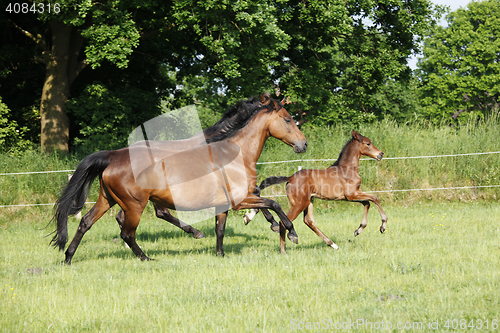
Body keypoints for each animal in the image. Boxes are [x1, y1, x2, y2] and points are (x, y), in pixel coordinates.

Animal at [52, 93, 306, 262]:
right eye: (287, 119)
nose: (303, 144)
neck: (235, 152)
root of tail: (113, 156)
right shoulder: (239, 200)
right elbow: (272, 204)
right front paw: (289, 232)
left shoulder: (224, 204)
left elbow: (221, 229)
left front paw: (221, 254)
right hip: (135, 205)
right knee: (128, 231)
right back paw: (147, 258)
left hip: (108, 199)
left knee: (86, 222)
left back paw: (68, 257)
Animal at [242, 130, 386, 252]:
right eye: (368, 143)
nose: (381, 154)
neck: (347, 169)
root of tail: (290, 178)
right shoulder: (352, 195)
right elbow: (375, 198)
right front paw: (383, 226)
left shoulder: (352, 196)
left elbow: (367, 203)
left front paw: (358, 230)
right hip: (300, 204)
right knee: (285, 222)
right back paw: (285, 248)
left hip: (309, 201)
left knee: (309, 221)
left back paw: (332, 244)